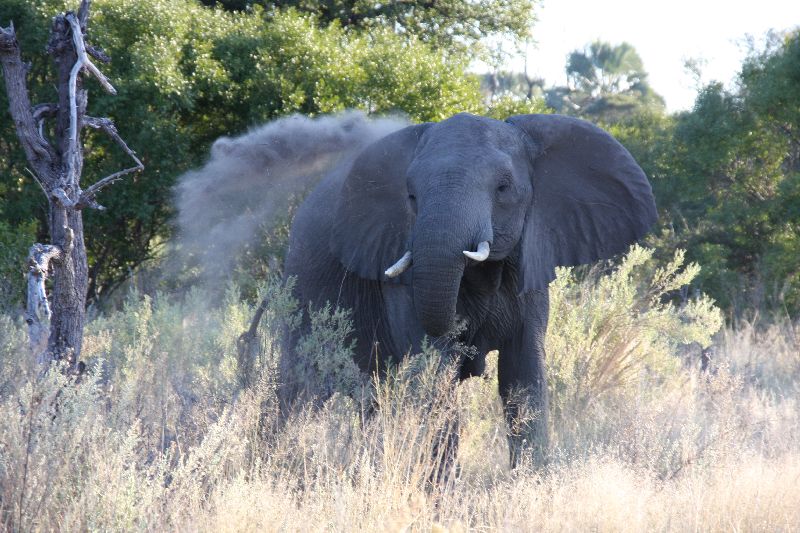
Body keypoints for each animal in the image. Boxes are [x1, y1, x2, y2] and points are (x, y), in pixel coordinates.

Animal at [280, 113, 656, 466]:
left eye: (503, 188)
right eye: (411, 196)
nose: (464, 334)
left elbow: (524, 375)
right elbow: (435, 376)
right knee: (298, 389)